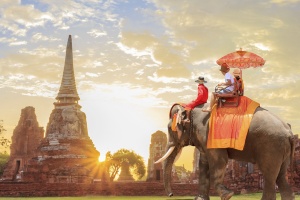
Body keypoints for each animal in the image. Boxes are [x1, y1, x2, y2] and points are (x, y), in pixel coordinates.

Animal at [157, 103, 296, 200]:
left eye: (170, 129)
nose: (171, 194)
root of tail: (289, 132)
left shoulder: (208, 134)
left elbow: (220, 161)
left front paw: (228, 195)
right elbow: (203, 164)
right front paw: (200, 199)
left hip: (270, 146)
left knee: (269, 176)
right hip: (281, 149)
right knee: (281, 176)